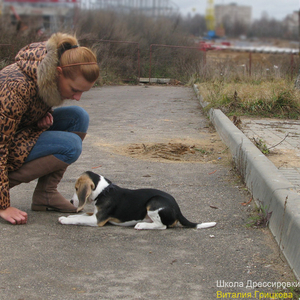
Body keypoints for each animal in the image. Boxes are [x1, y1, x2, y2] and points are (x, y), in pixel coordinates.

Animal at [58, 171, 217, 230]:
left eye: (76, 188)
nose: (71, 202)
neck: (103, 191)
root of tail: (178, 210)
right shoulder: (96, 214)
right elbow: (82, 214)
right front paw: (68, 216)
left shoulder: (98, 220)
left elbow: (80, 218)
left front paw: (66, 219)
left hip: (154, 203)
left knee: (162, 226)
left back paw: (141, 225)